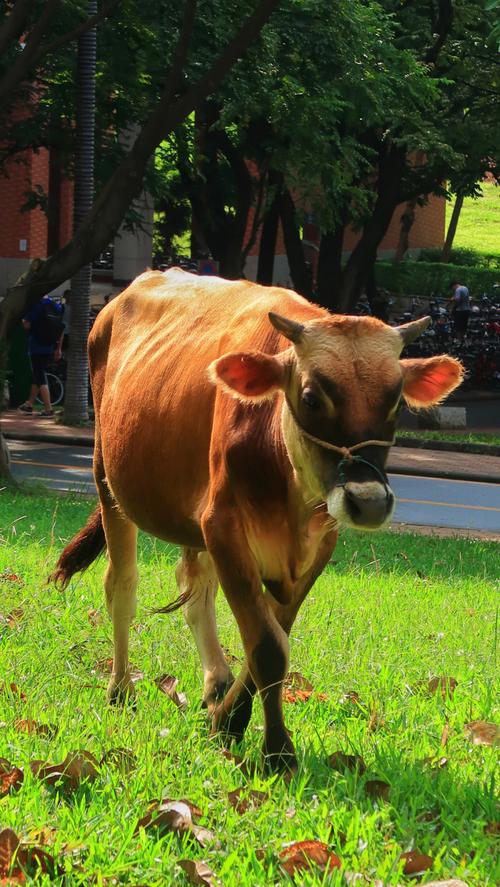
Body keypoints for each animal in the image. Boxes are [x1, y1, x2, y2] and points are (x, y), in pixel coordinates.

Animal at [52, 268, 462, 772]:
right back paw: (121, 689)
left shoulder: (316, 545)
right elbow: (267, 647)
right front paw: (277, 750)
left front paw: (228, 718)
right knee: (122, 587)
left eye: (397, 403)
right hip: (107, 478)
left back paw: (215, 685)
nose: (368, 502)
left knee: (194, 590)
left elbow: (273, 636)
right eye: (311, 397)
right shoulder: (223, 526)